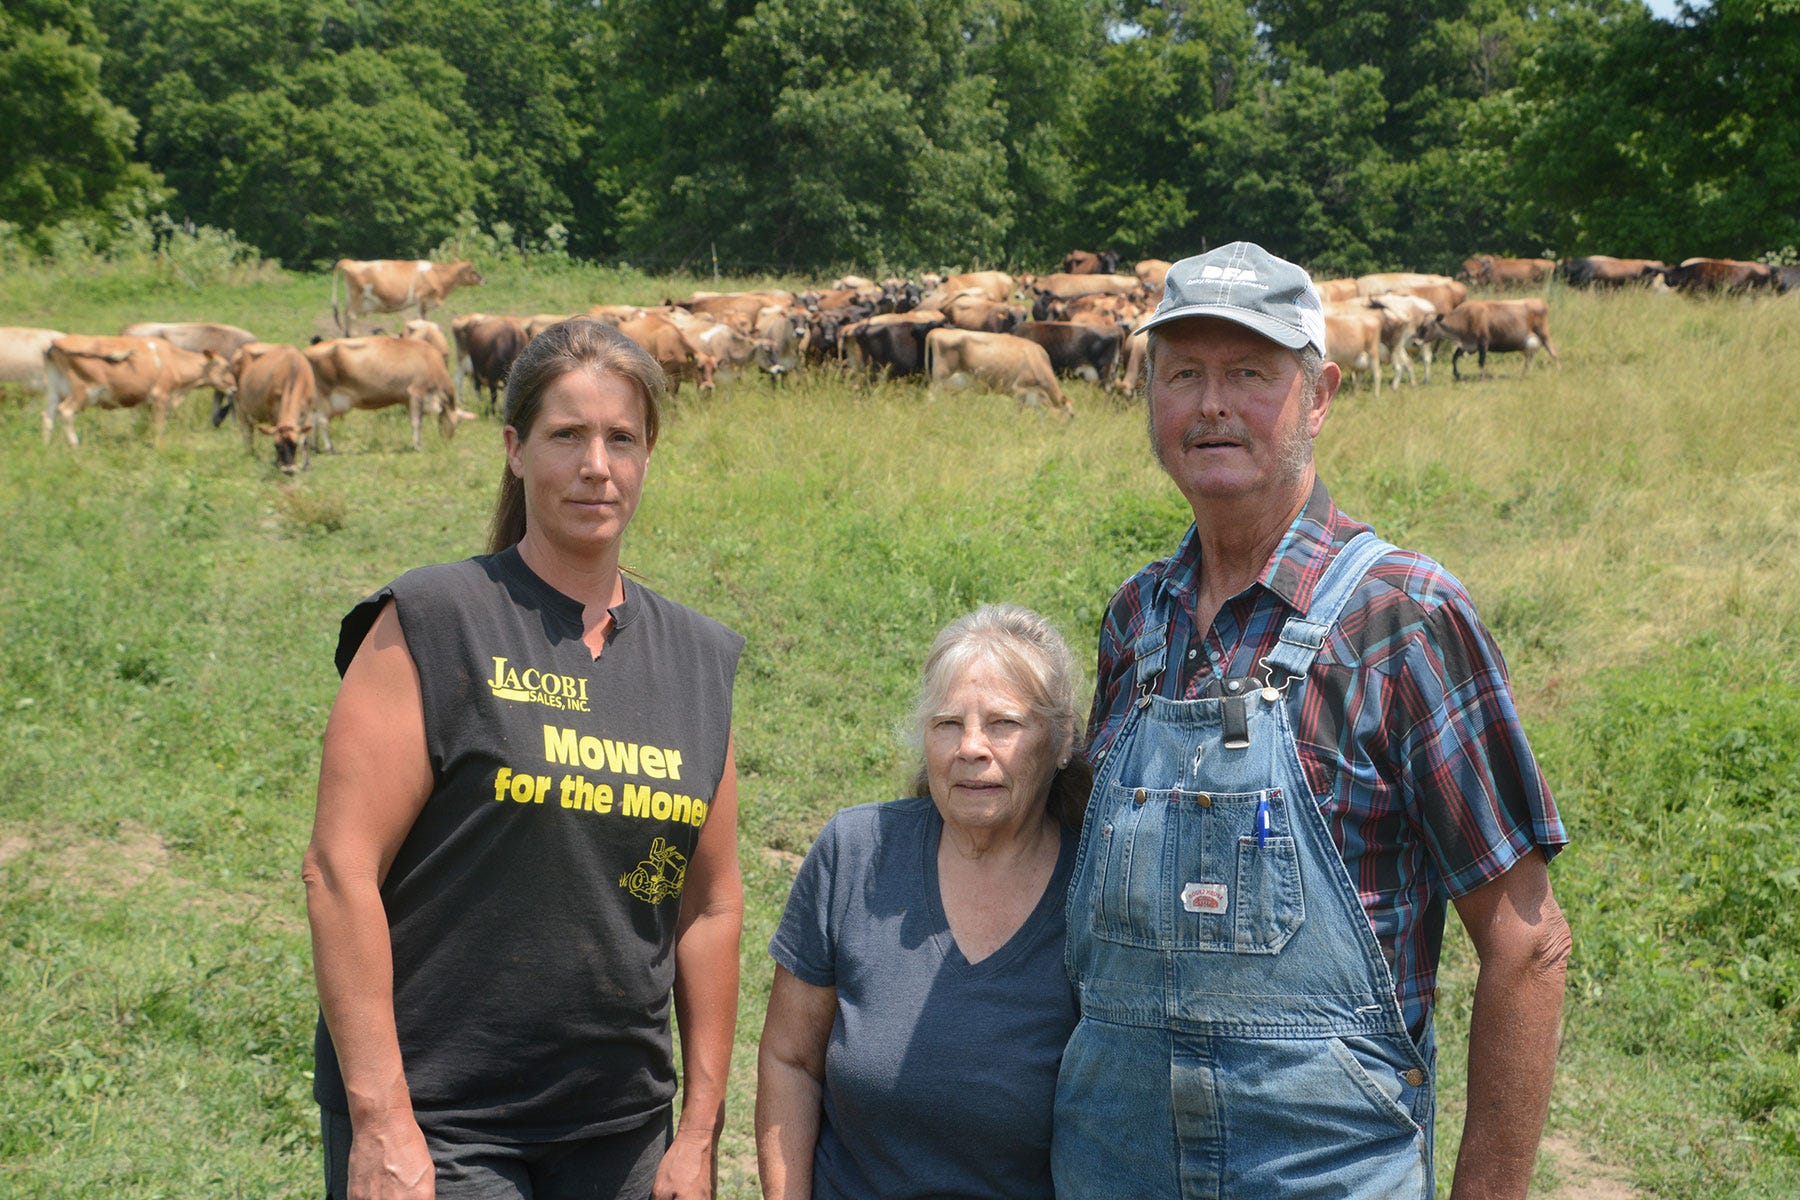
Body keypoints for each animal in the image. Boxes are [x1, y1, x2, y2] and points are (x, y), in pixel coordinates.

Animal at [42, 332, 235, 446]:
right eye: (226, 366)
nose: (234, 388)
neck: (173, 359)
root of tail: (58, 341)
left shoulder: (144, 401)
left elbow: (140, 424)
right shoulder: (161, 396)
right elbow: (159, 425)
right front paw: (158, 445)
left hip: (54, 392)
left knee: (48, 415)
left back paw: (46, 446)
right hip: (84, 392)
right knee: (65, 411)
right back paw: (75, 446)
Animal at [222, 341, 316, 474]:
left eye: (294, 444)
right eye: (276, 446)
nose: (288, 470)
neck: (294, 369)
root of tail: (242, 348)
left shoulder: (309, 410)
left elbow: (305, 440)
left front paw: (307, 466)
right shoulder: (272, 413)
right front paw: (277, 463)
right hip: (239, 406)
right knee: (247, 432)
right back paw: (250, 454)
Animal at [333, 259, 486, 332]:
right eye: (472, 270)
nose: (484, 280)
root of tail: (350, 262)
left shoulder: (424, 304)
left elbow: (424, 321)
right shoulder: (421, 300)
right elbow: (420, 321)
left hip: (350, 300)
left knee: (346, 317)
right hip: (356, 301)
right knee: (351, 318)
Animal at [928, 331, 1065, 420]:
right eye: (1069, 416)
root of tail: (937, 331)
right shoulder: (1019, 390)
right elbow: (1018, 413)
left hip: (954, 383)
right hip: (940, 379)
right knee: (932, 398)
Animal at [1418, 298, 1562, 377]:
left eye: (1425, 327)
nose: (1416, 342)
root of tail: (1539, 301)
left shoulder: (1483, 342)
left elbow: (1481, 362)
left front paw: (1481, 378)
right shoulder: (1468, 345)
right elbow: (1454, 358)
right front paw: (1457, 375)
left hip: (1543, 333)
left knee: (1553, 352)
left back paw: (1558, 371)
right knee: (1530, 357)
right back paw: (1524, 374)